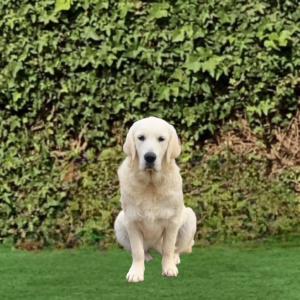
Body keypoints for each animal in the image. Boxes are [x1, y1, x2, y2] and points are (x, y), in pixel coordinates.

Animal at [114, 116, 197, 282]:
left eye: (161, 139)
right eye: (141, 138)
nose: (150, 157)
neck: (151, 185)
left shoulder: (172, 222)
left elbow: (169, 248)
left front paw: (169, 268)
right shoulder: (132, 221)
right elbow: (137, 251)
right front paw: (136, 272)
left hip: (190, 218)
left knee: (176, 248)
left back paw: (175, 259)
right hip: (119, 221)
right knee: (142, 249)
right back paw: (148, 256)